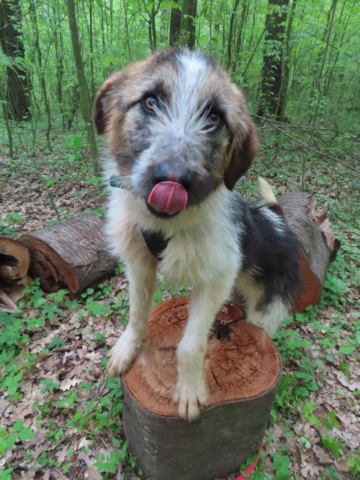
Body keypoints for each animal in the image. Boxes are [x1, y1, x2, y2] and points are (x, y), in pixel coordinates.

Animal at [93, 48, 300, 420]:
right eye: (150, 101)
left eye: (214, 117)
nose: (172, 178)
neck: (169, 227)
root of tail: (281, 225)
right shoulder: (139, 265)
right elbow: (136, 313)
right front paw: (127, 349)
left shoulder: (216, 278)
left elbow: (191, 344)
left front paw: (189, 391)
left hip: (266, 313)